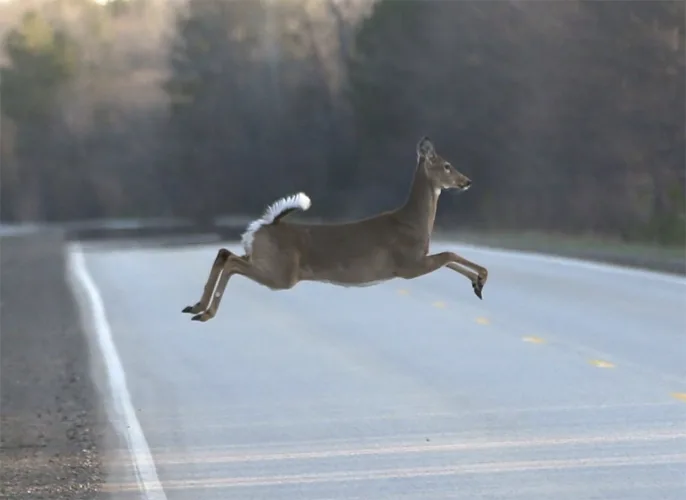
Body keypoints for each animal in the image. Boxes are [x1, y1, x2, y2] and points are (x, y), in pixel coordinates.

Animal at [182, 137, 488, 322]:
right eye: (447, 165)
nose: (468, 181)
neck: (413, 222)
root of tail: (265, 225)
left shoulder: (417, 261)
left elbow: (449, 258)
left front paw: (477, 284)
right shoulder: (407, 264)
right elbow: (449, 255)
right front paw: (482, 279)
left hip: (263, 260)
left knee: (225, 253)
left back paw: (195, 307)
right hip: (282, 273)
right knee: (232, 262)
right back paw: (205, 312)